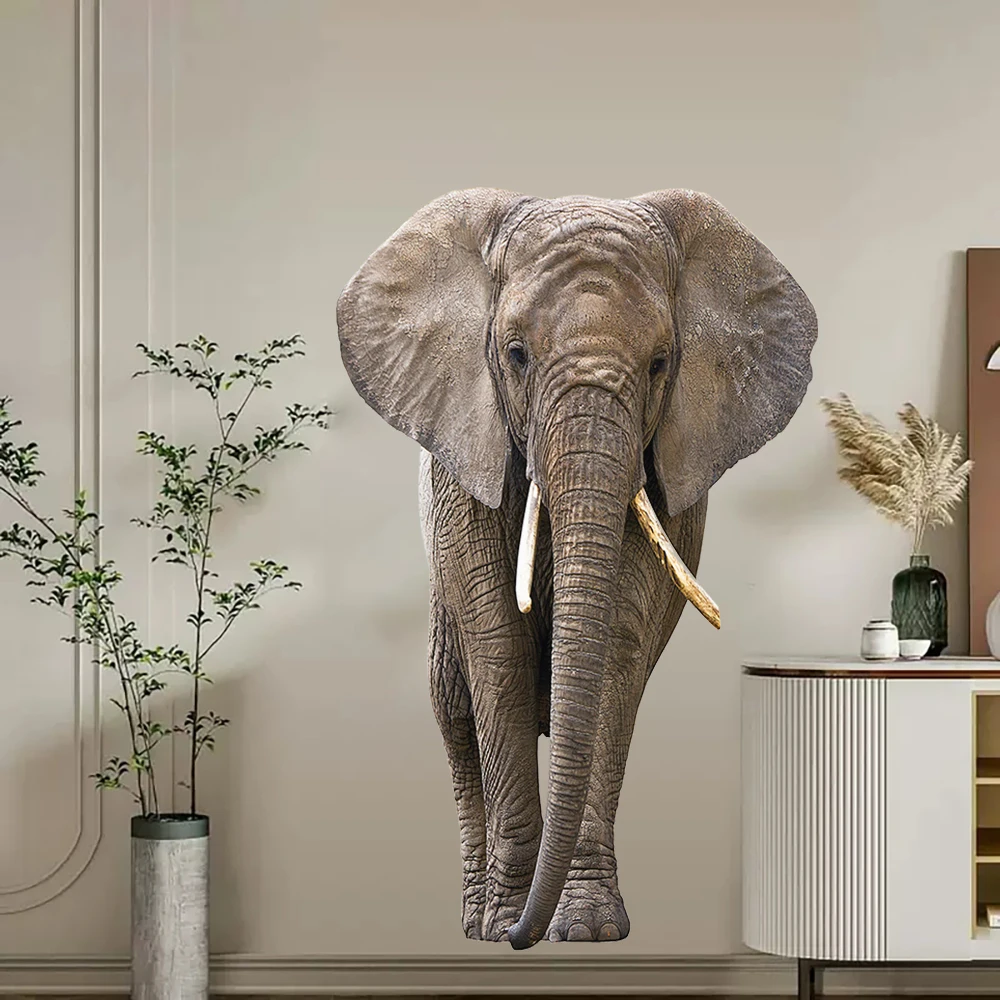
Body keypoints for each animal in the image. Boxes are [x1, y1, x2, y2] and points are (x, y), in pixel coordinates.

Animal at [336, 188, 817, 949]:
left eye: (660, 363)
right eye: (516, 354)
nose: (520, 937)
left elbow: (618, 643)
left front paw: (588, 929)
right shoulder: (463, 457)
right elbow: (497, 644)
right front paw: (505, 921)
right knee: (450, 699)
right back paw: (473, 919)